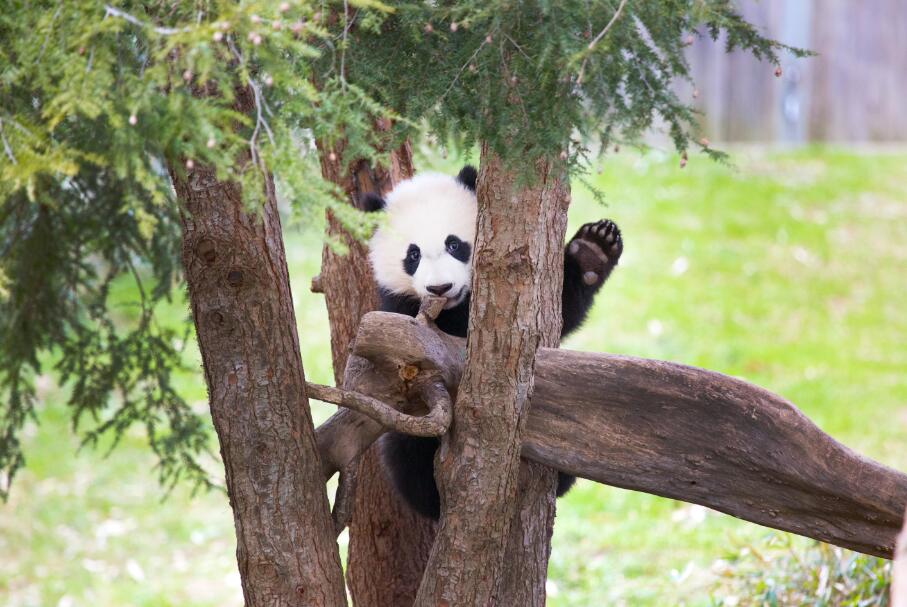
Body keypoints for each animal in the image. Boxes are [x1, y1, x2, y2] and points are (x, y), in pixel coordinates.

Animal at [362, 166, 624, 524]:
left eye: (455, 244)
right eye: (412, 255)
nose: (440, 288)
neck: (454, 306)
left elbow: (557, 316)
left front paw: (593, 249)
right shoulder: (400, 310)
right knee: (406, 451)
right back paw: (432, 496)